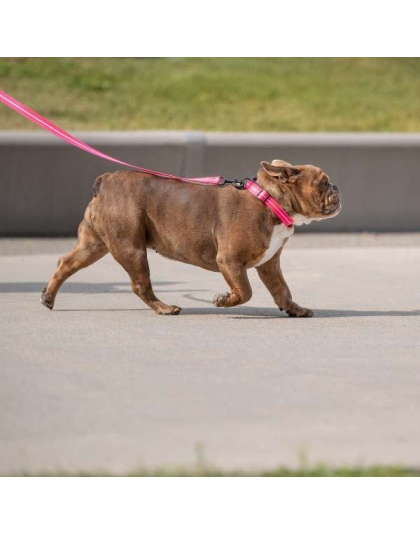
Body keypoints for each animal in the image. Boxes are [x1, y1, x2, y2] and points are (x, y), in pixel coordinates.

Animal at [40, 159, 342, 318]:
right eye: (323, 182)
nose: (337, 186)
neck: (269, 201)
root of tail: (106, 180)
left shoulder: (270, 265)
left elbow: (282, 289)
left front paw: (294, 309)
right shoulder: (230, 261)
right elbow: (245, 291)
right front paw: (223, 300)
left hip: (94, 244)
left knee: (65, 263)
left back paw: (48, 297)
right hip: (131, 249)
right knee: (140, 284)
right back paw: (164, 308)